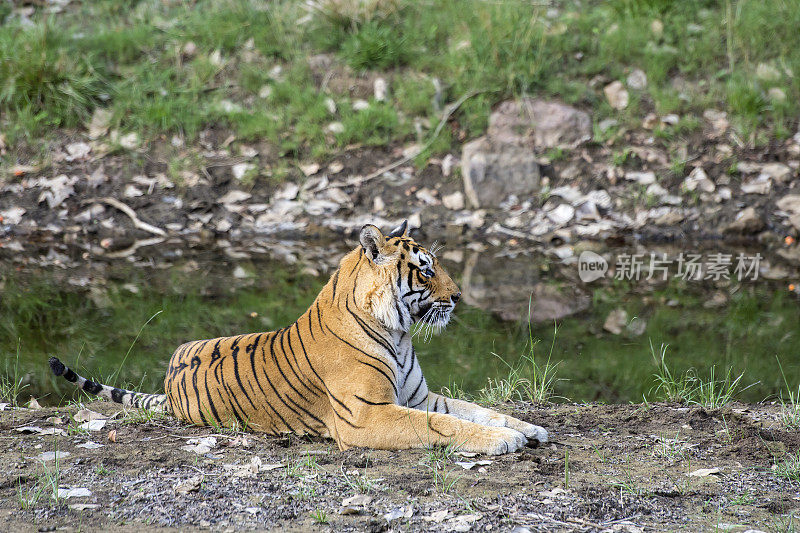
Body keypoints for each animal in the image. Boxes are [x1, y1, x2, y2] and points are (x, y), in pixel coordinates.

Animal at [50, 220, 548, 454]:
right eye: (425, 270)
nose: (460, 297)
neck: (398, 333)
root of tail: (170, 381)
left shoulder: (417, 396)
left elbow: (478, 410)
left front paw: (528, 428)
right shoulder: (367, 415)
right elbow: (445, 425)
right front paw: (504, 441)